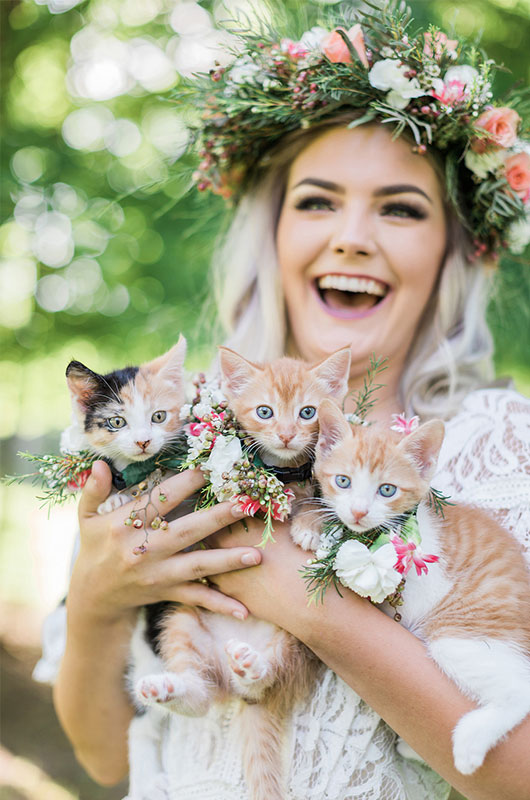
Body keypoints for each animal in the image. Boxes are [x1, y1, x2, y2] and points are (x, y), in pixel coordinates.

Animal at [128, 346, 348, 800]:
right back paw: (170, 688)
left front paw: (308, 526)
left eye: (307, 412)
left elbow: (320, 503)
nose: (287, 435)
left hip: (298, 641)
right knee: (201, 696)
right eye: (265, 411)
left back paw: (250, 668)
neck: (285, 471)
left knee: (264, 683)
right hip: (183, 623)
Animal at [308, 400, 528, 776]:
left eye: (387, 490)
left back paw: (469, 743)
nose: (358, 511)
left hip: (462, 632)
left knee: (520, 687)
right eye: (343, 481)